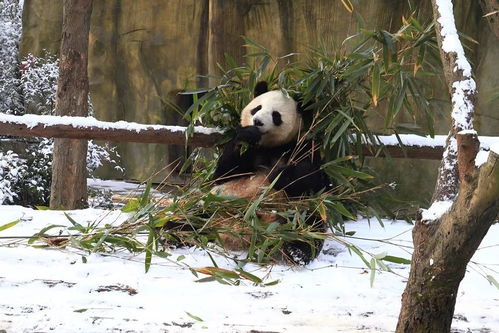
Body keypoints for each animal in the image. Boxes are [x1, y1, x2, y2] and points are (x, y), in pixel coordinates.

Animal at [211, 82, 332, 264]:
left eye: (276, 115)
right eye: (257, 108)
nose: (257, 121)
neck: (269, 146)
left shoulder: (304, 146)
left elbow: (316, 179)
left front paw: (278, 175)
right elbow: (223, 174)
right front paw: (247, 135)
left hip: (294, 211)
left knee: (309, 223)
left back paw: (297, 252)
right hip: (214, 205)